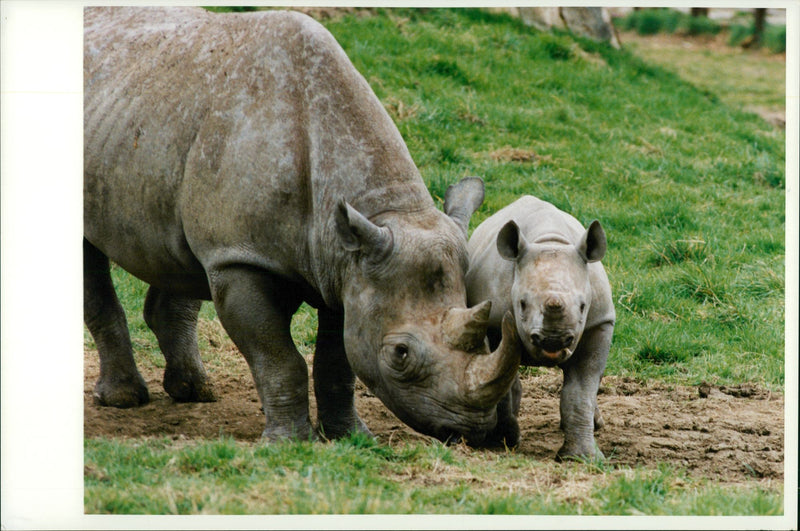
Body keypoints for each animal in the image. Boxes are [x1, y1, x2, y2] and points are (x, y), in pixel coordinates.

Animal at [466, 197, 616, 460]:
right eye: (522, 304)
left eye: (583, 306)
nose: (553, 341)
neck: (550, 241)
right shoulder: (493, 321)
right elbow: (499, 376)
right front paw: (503, 441)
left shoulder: (599, 321)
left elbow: (581, 390)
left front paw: (582, 458)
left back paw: (596, 424)